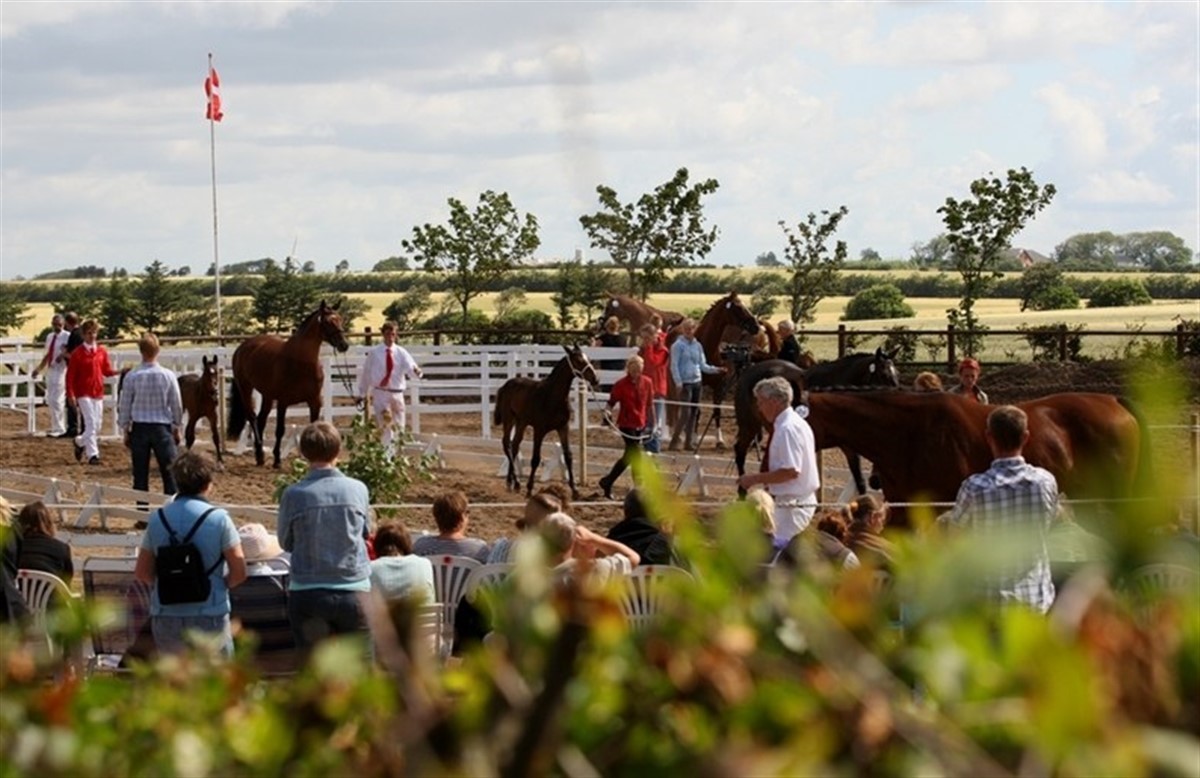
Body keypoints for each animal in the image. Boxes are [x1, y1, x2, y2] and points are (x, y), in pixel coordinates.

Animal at [227, 301, 350, 468]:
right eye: (327, 322)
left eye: (340, 319)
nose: (344, 345)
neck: (301, 363)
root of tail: (242, 347)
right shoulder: (283, 402)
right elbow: (280, 430)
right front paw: (277, 460)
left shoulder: (315, 401)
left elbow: (314, 426)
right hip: (245, 388)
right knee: (252, 418)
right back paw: (259, 454)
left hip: (267, 395)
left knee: (261, 419)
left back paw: (260, 455)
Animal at [494, 344, 599, 499]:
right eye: (579, 360)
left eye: (588, 358)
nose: (596, 379)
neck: (552, 397)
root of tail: (506, 385)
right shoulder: (539, 430)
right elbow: (535, 459)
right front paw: (529, 489)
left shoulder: (563, 428)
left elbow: (568, 456)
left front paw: (575, 490)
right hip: (509, 420)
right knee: (506, 444)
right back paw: (516, 483)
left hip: (521, 422)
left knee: (514, 446)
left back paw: (512, 483)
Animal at [732, 349, 901, 493]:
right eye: (883, 375)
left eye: (896, 375)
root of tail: (747, 371)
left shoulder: (849, 446)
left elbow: (860, 481)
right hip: (749, 425)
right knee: (740, 452)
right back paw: (742, 492)